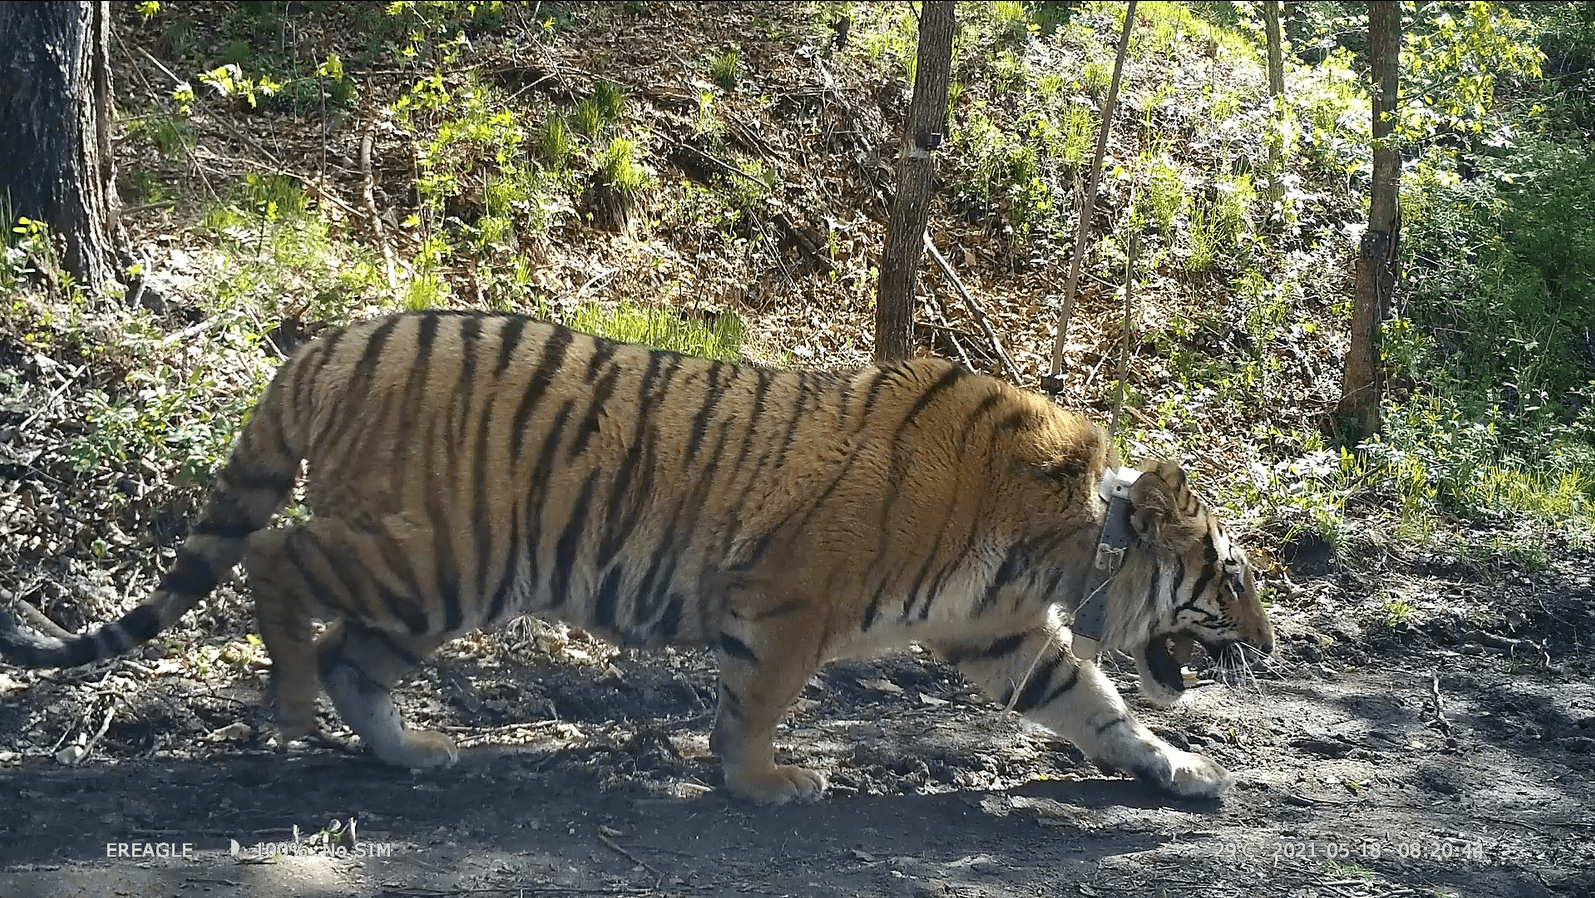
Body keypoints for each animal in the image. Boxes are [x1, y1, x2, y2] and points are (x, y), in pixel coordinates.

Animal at [0, 312, 1269, 803]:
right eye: (1234, 577)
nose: (1264, 646)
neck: (1065, 545)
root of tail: (334, 339)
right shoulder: (791, 599)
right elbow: (759, 699)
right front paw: (762, 782)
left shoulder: (1000, 633)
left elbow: (1097, 706)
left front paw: (1178, 767)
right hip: (425, 554)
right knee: (275, 554)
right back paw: (292, 705)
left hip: (439, 584)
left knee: (356, 648)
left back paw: (408, 750)